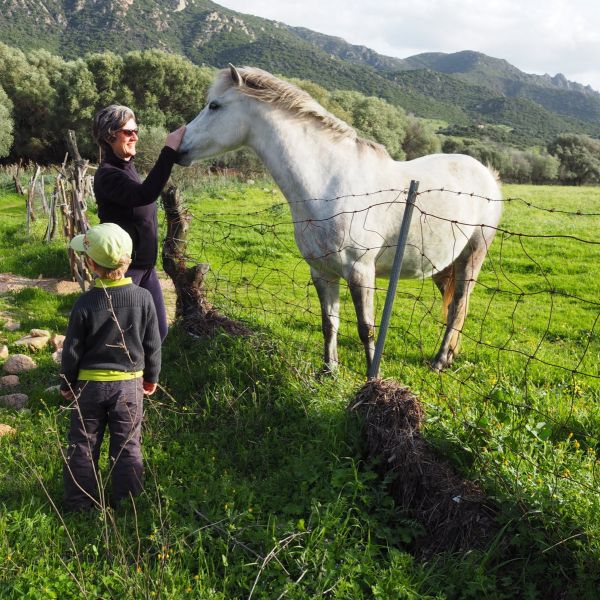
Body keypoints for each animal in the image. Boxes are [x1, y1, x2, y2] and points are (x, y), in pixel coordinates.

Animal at [177, 67, 502, 376]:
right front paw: (328, 370)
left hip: (473, 255)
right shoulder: (322, 271)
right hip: (443, 265)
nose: (179, 148)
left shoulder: (360, 272)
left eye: (214, 105)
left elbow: (365, 328)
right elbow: (329, 322)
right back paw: (448, 358)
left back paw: (439, 361)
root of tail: (487, 173)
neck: (329, 185)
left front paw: (373, 379)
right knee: (456, 309)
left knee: (458, 305)